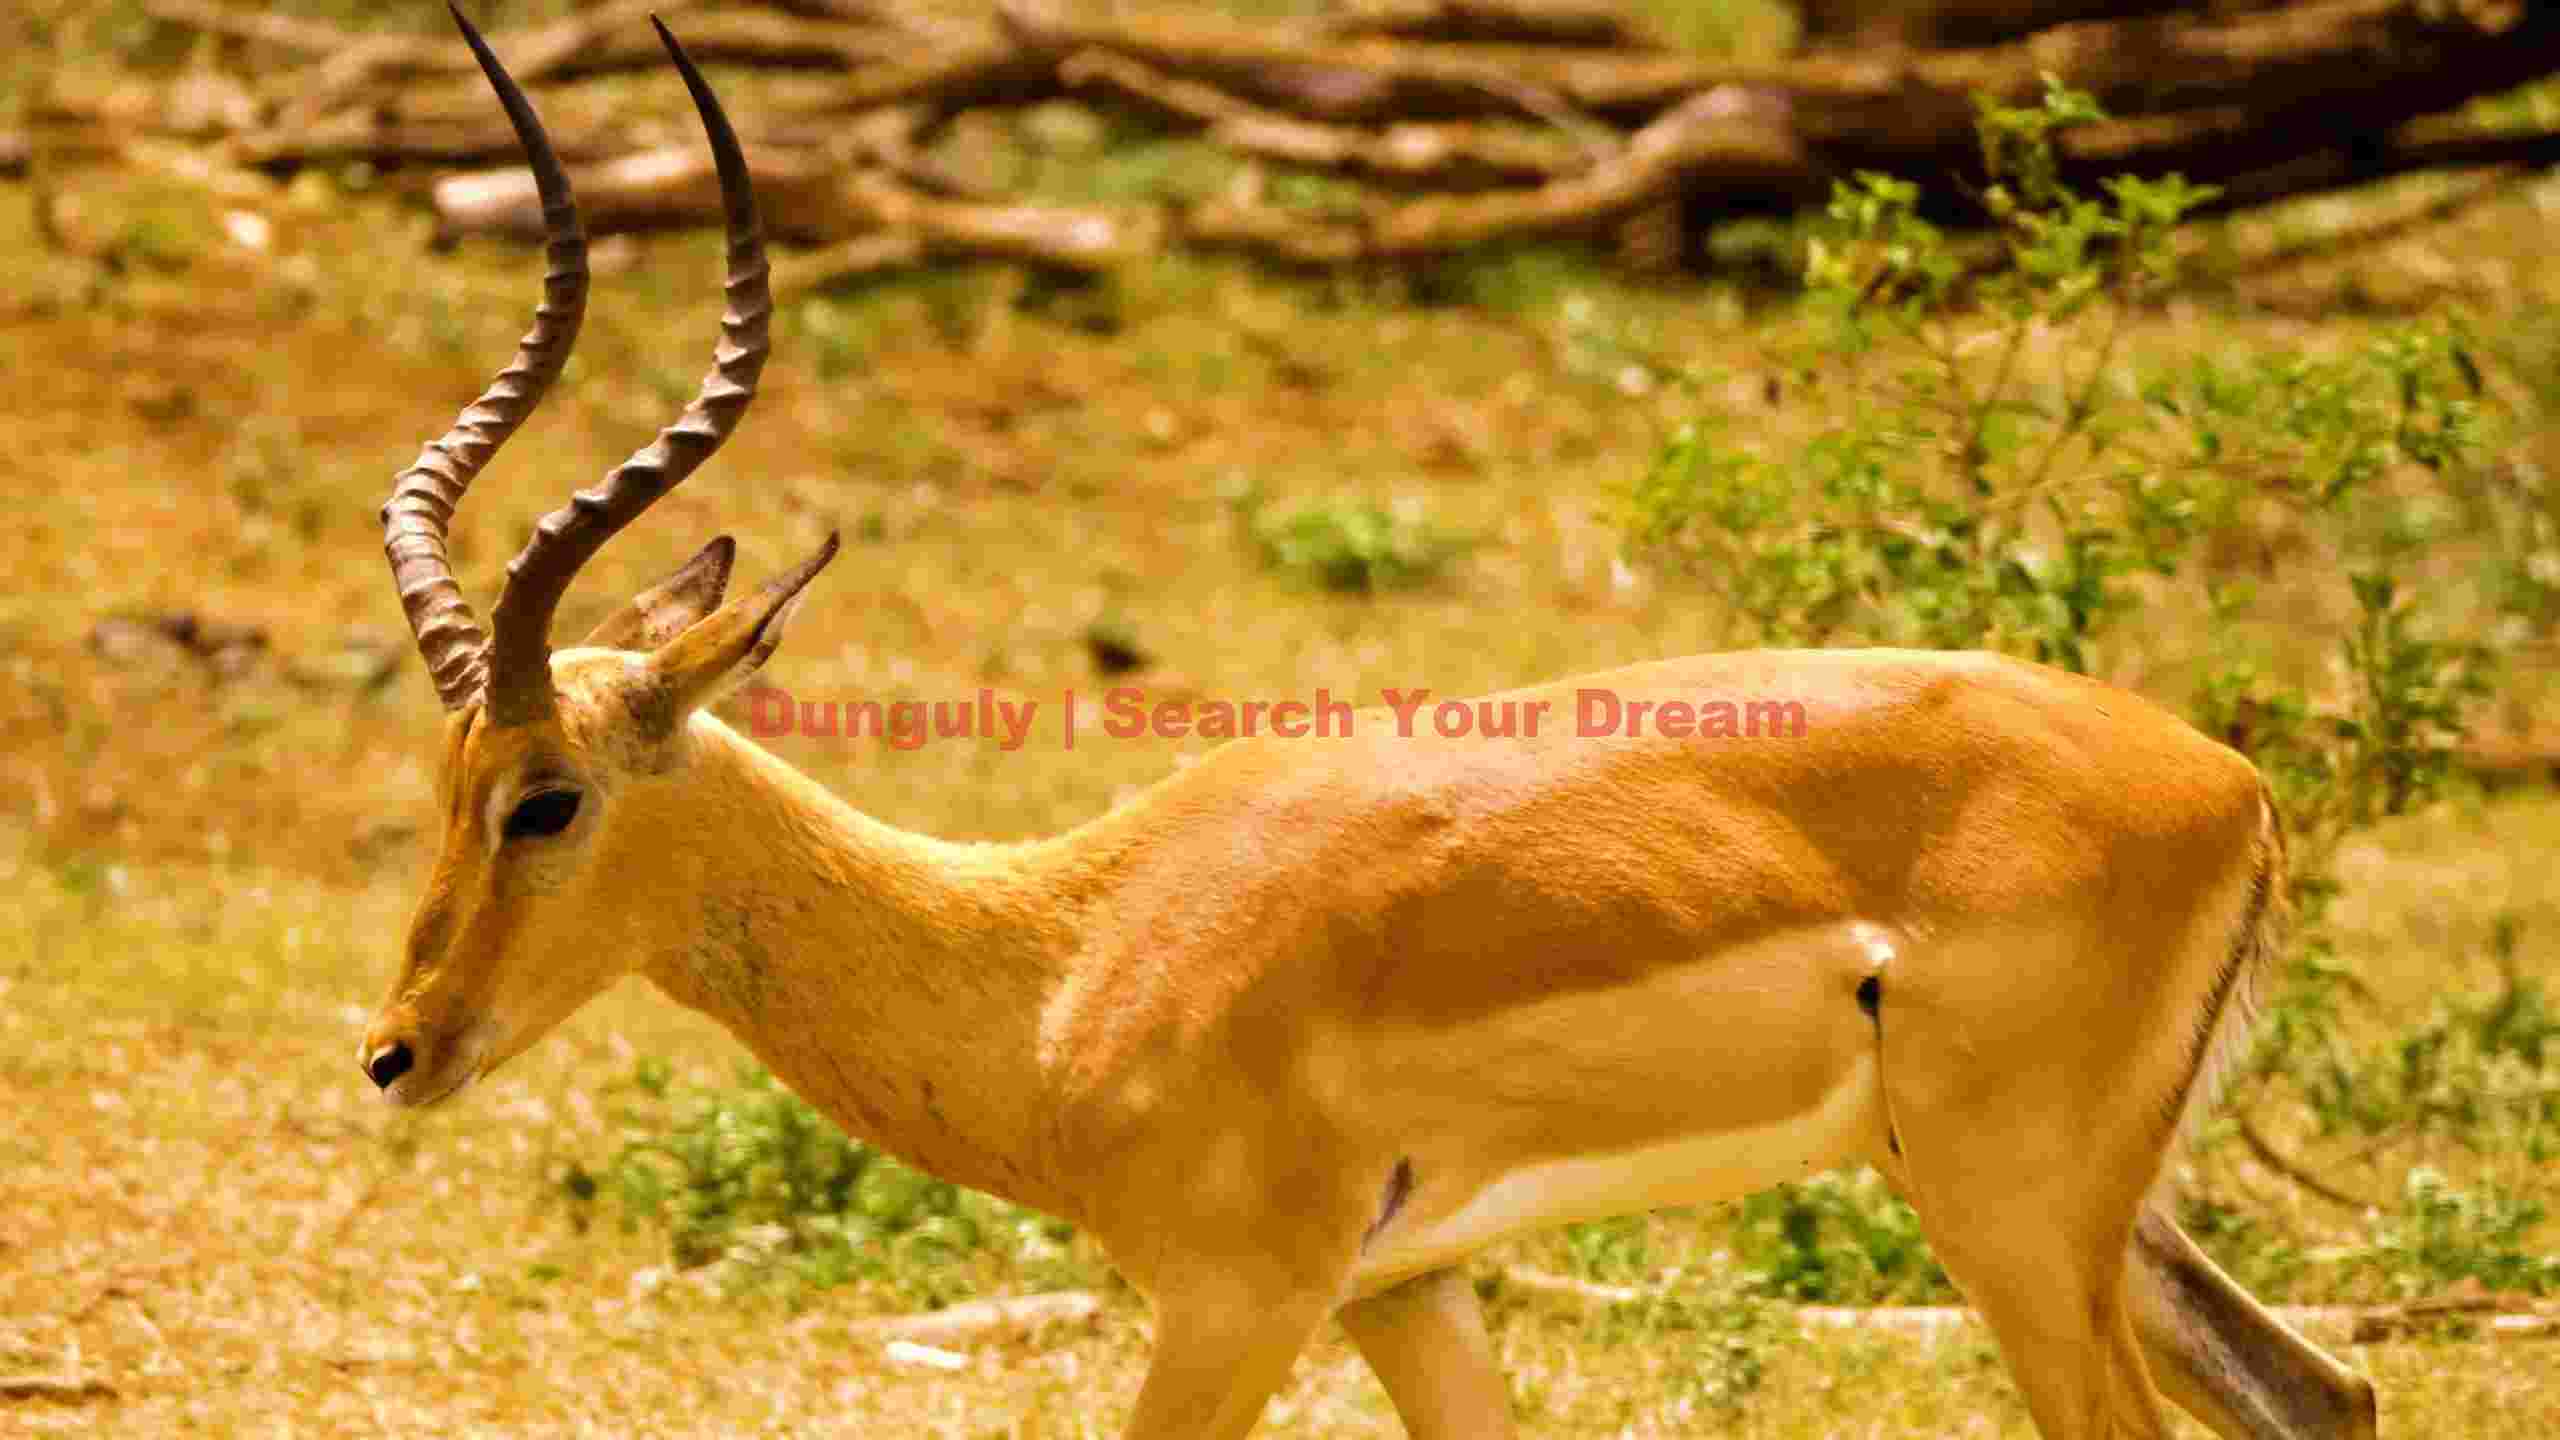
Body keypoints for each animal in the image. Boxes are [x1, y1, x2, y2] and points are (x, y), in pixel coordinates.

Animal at [361, 12, 2379, 1439]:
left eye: (545, 798)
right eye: (444, 780)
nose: (395, 1051)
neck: (1060, 959)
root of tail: (2235, 785)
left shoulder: (1240, 1301)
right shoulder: (1405, 1289)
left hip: (2010, 1215)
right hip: (2085, 1213)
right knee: (2328, 1391)